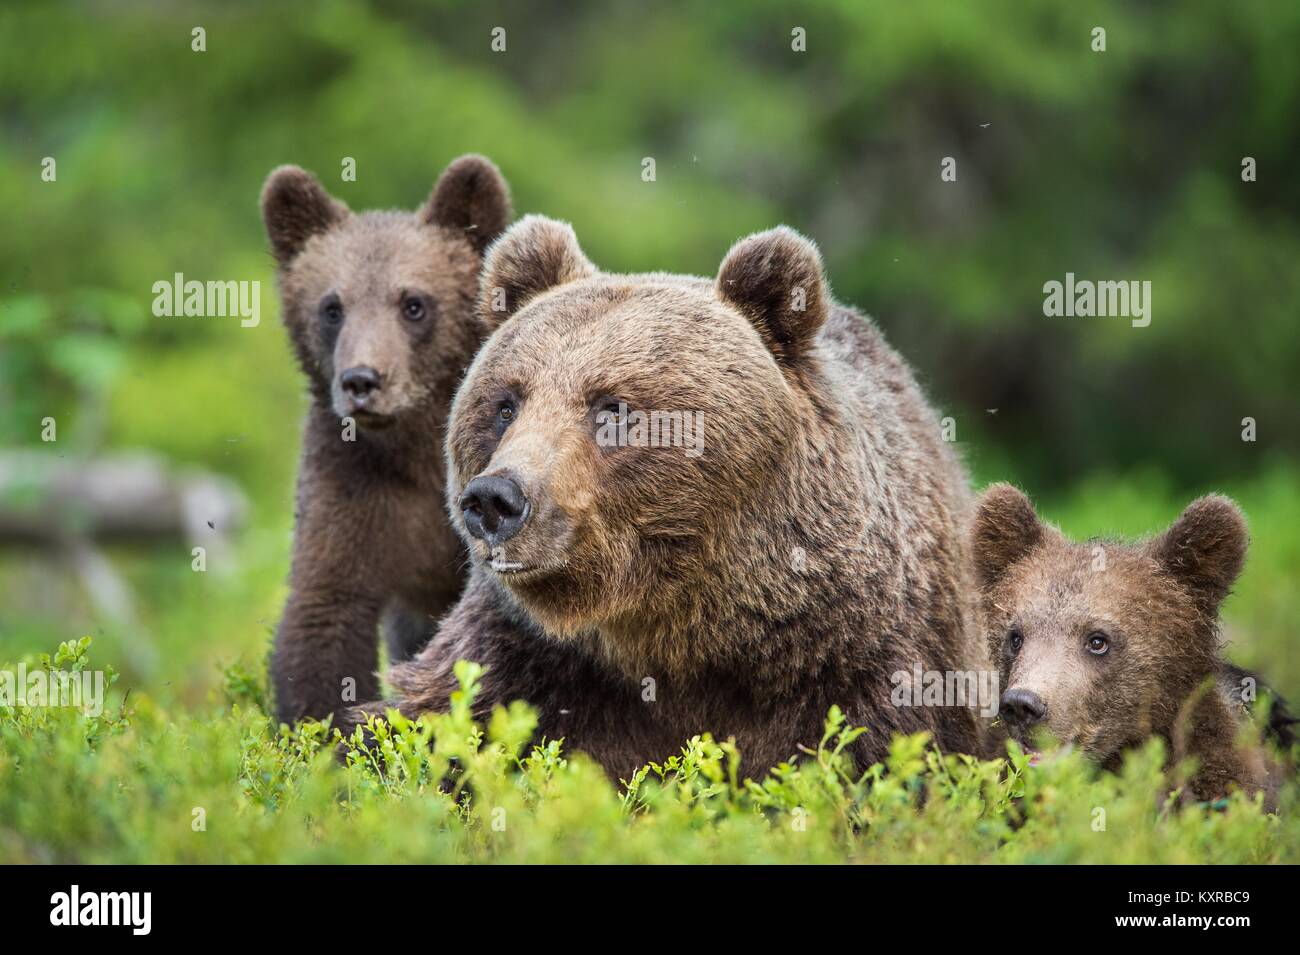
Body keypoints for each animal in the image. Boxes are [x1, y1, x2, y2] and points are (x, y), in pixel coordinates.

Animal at [261, 154, 511, 726]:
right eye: (332, 307)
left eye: (413, 303)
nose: (361, 380)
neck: (417, 451)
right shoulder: (353, 485)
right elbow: (325, 611)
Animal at [351, 215, 990, 778]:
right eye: (506, 404)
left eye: (611, 408)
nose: (494, 499)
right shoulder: (520, 659)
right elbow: (411, 727)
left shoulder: (859, 662)